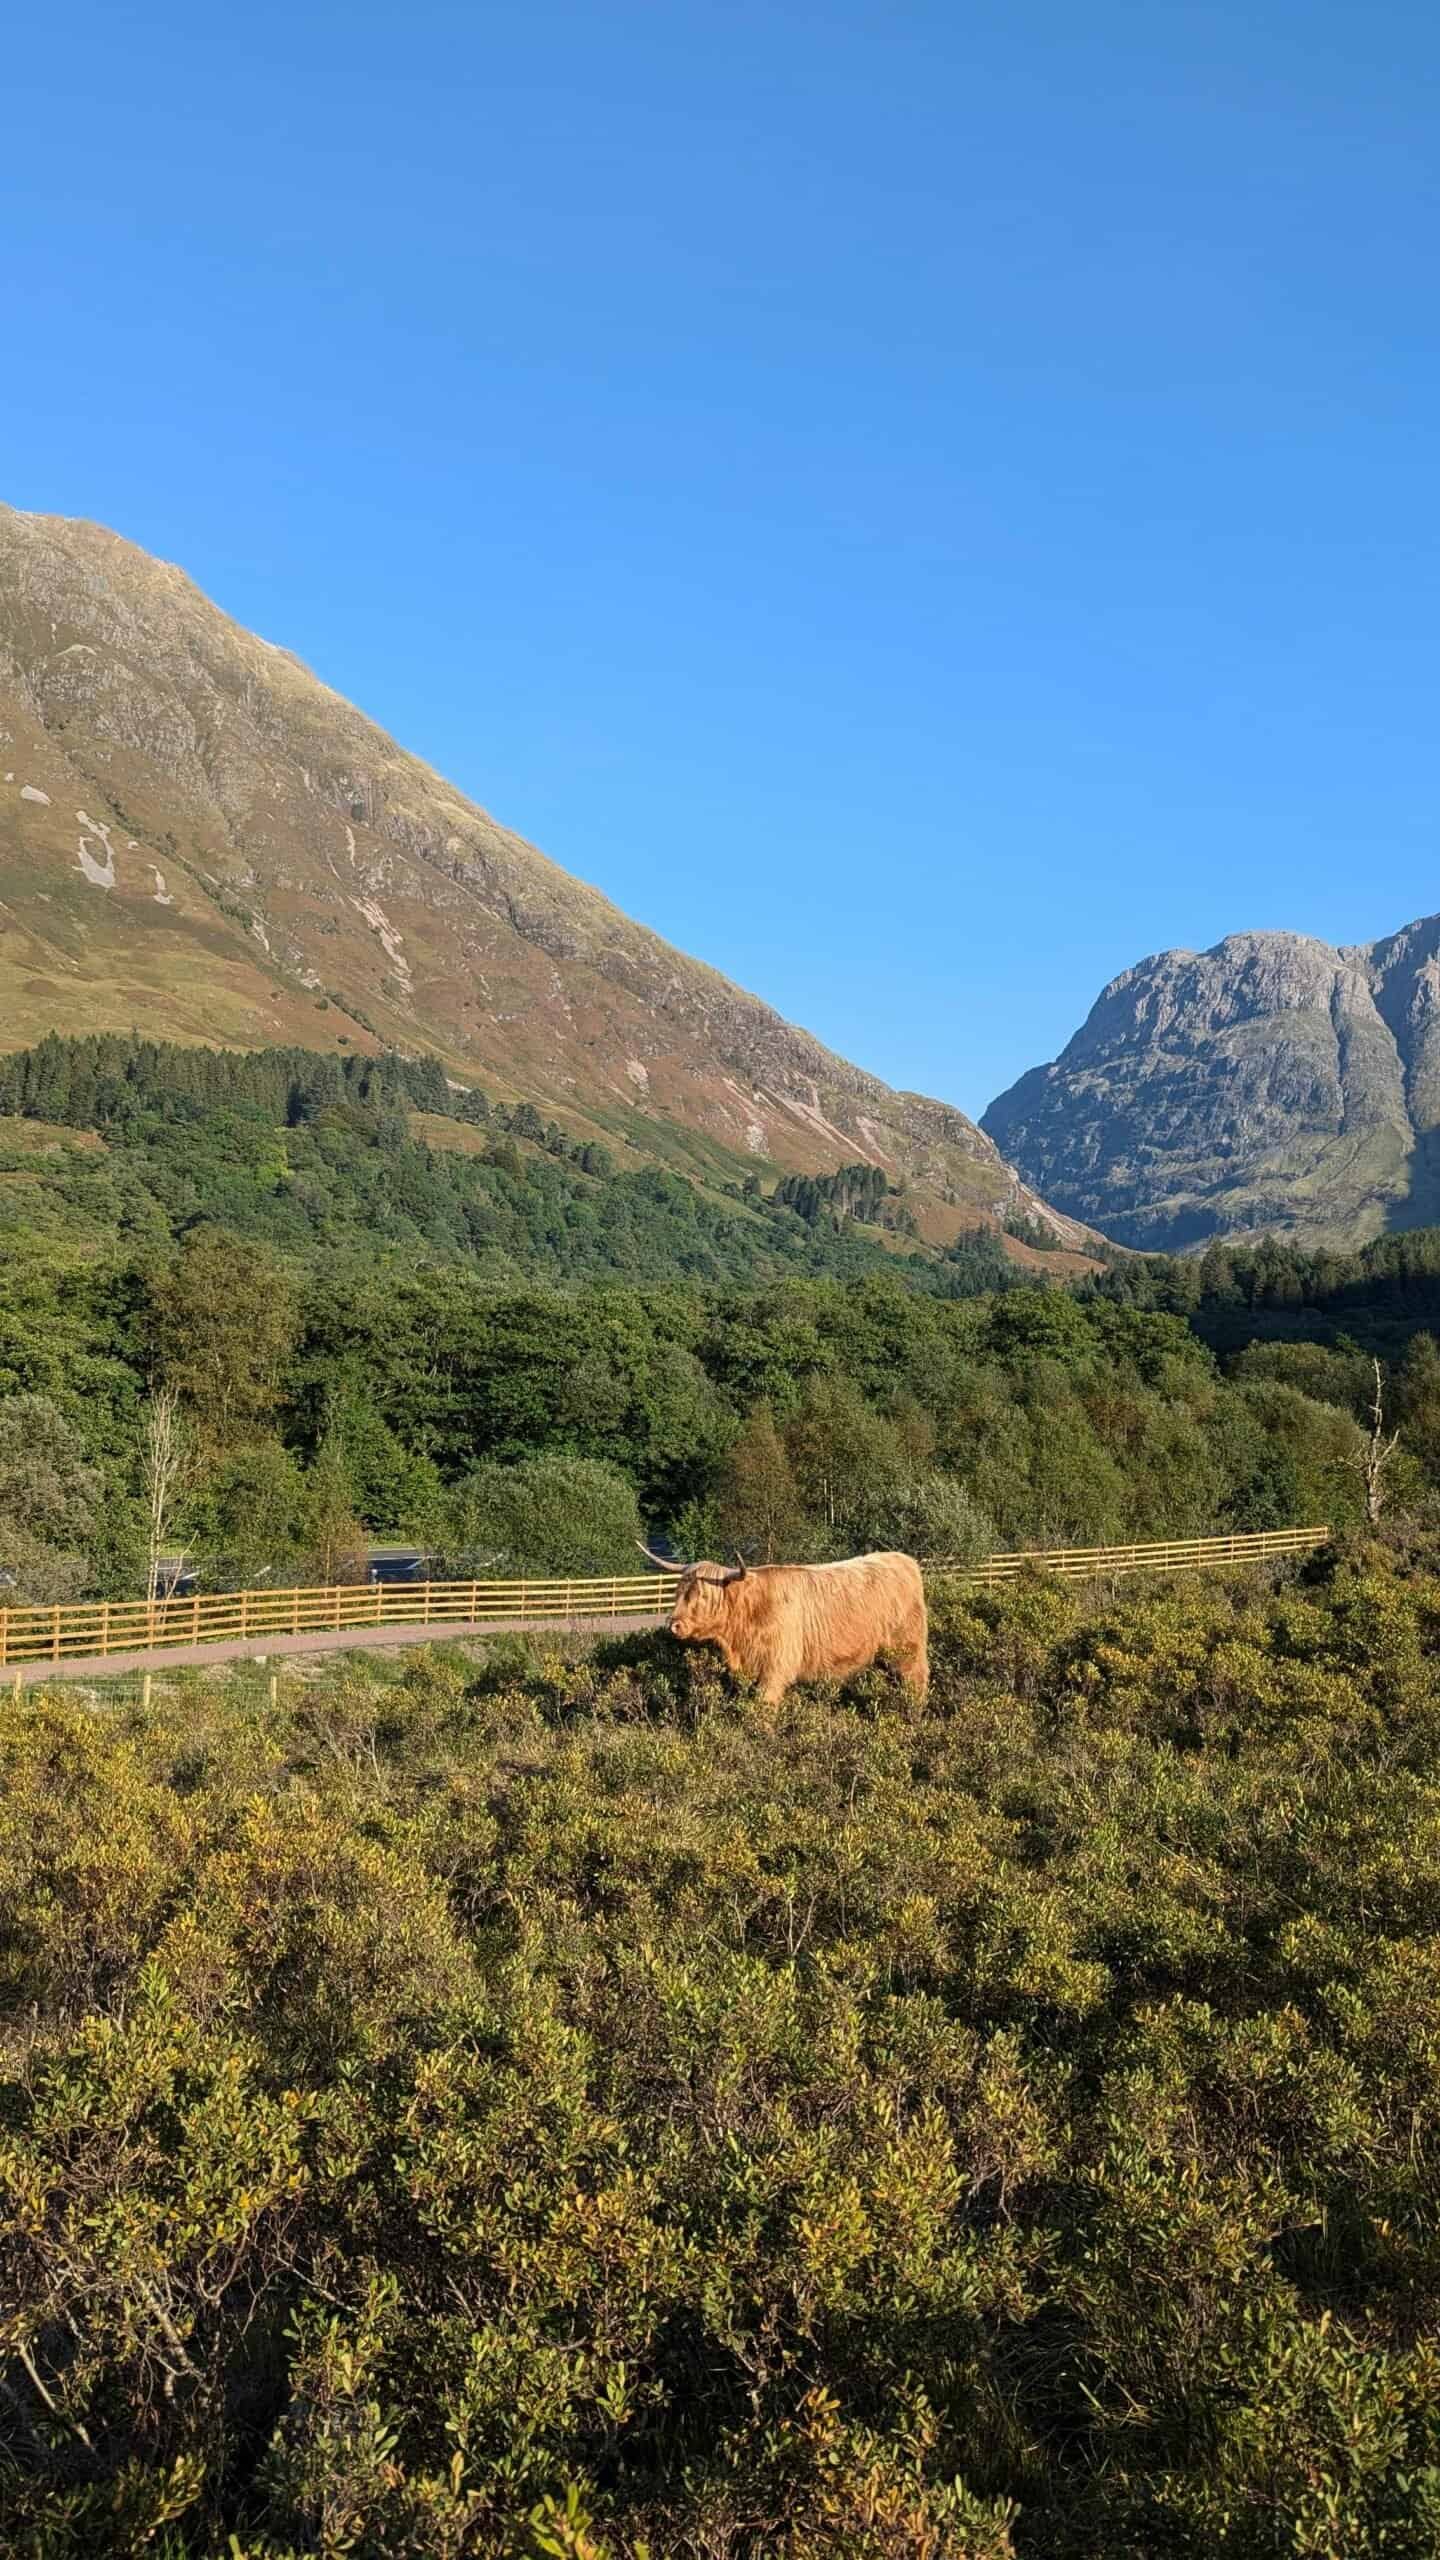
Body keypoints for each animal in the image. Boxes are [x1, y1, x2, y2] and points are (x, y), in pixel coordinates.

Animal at [640, 1544, 928, 1706]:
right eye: (679, 1592)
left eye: (703, 1596)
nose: (674, 1624)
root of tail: (904, 1561)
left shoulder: (775, 1670)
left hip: (908, 1649)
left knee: (917, 1681)